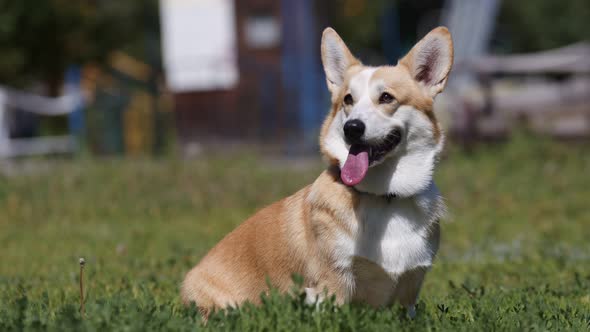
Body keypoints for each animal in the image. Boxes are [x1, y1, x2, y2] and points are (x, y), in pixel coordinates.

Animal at [183, 26, 456, 316]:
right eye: (348, 99)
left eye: (386, 97)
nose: (352, 127)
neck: (385, 197)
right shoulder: (334, 279)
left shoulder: (411, 286)